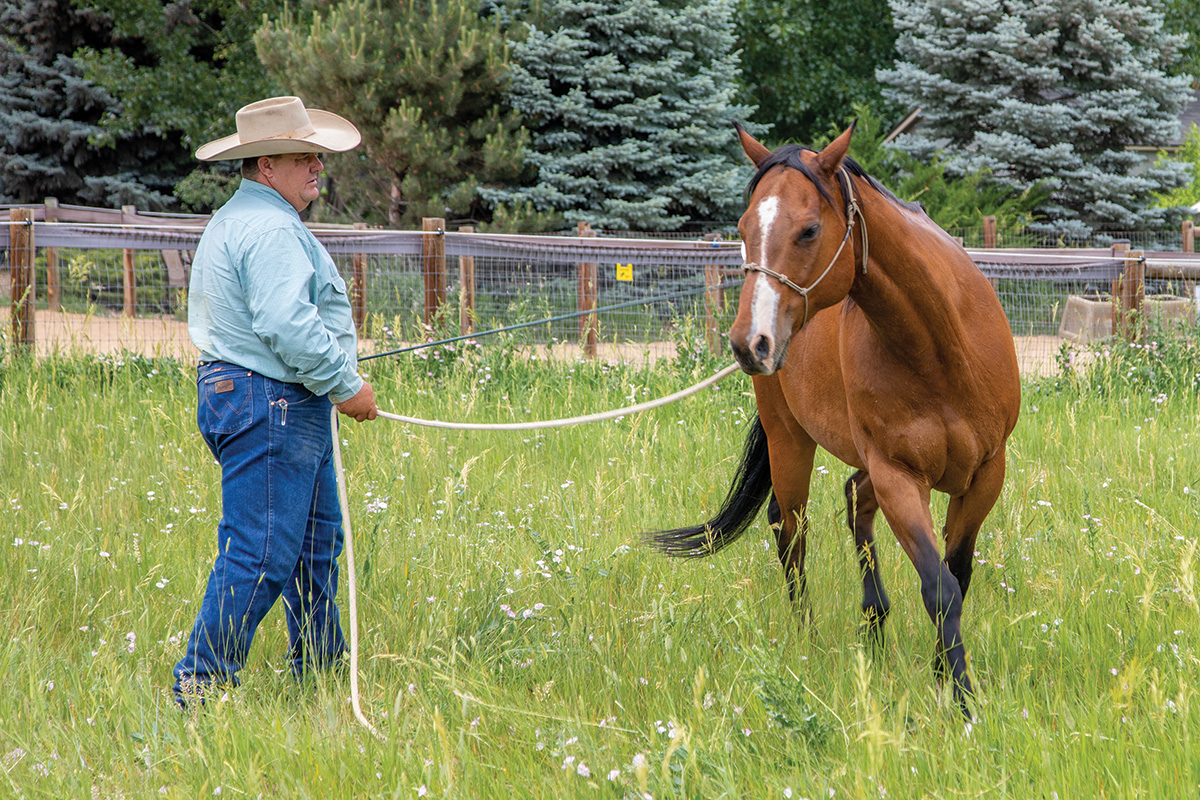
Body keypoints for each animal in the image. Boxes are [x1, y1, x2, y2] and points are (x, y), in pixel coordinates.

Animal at [652, 123, 1017, 714]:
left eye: (808, 230)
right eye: (743, 228)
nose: (749, 342)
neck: (941, 349)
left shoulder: (986, 474)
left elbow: (957, 575)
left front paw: (947, 680)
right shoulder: (898, 476)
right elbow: (940, 587)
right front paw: (960, 699)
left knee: (851, 499)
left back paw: (874, 621)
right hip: (789, 438)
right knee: (790, 526)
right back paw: (809, 637)